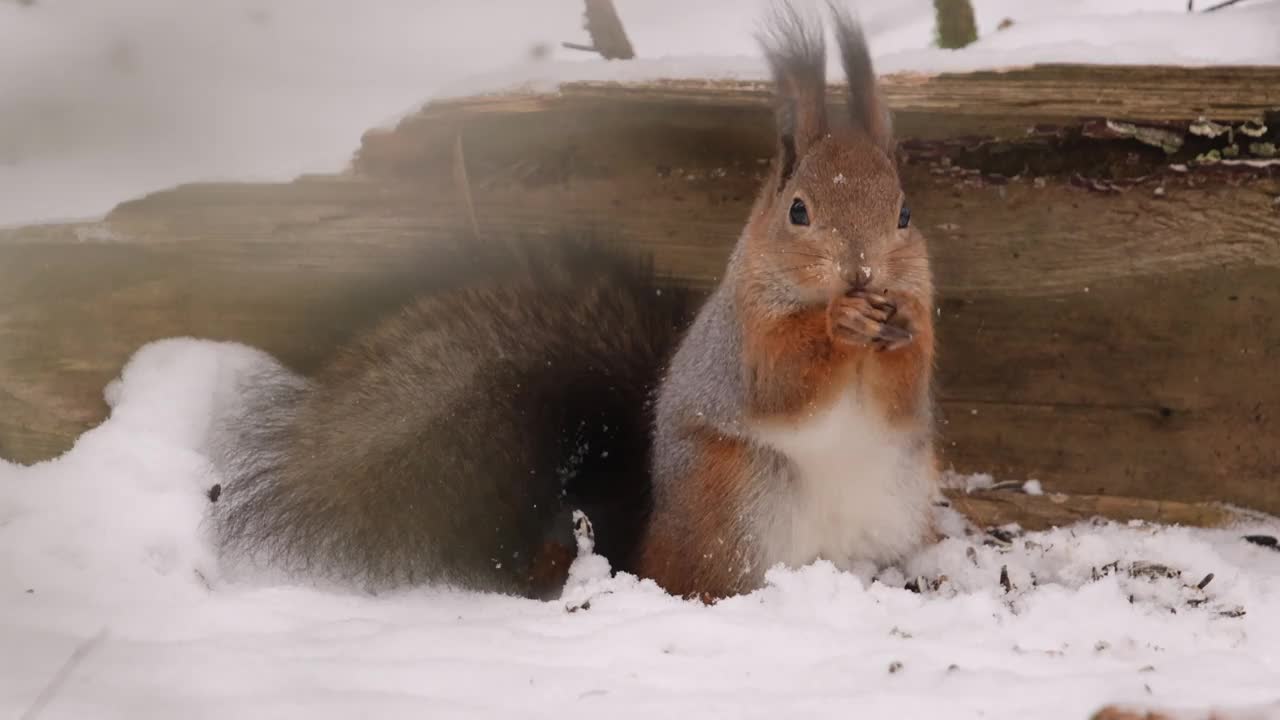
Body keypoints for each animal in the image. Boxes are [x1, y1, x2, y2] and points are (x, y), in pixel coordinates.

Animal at [204, 1, 936, 599]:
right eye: (798, 211)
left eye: (904, 213)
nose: (862, 274)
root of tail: (642, 542)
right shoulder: (743, 341)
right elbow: (781, 383)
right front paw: (840, 321)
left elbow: (903, 398)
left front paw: (901, 323)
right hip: (735, 501)